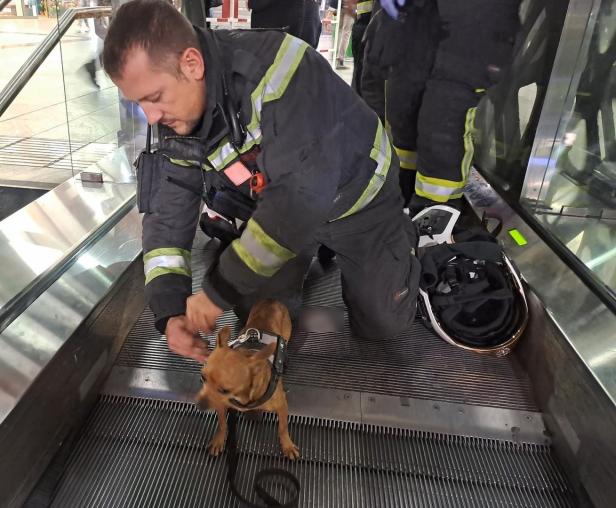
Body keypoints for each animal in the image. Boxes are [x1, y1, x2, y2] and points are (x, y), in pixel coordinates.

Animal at [194, 300, 298, 458]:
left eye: (225, 390)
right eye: (202, 377)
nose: (199, 405)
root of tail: (271, 299)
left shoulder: (282, 406)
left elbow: (283, 427)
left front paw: (287, 445)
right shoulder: (221, 404)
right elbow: (222, 423)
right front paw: (219, 439)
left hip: (286, 335)